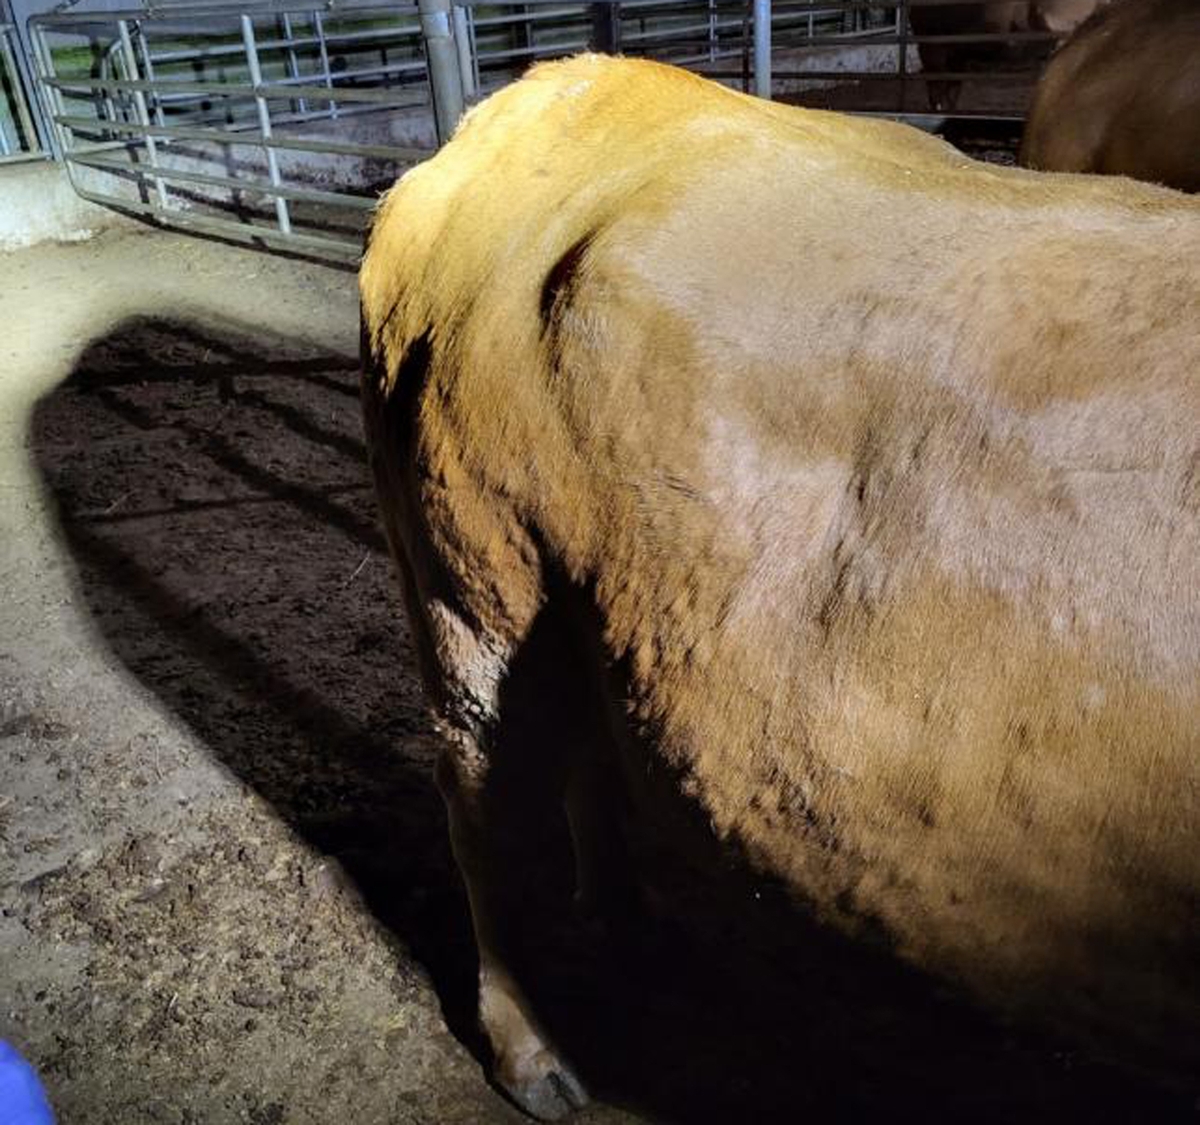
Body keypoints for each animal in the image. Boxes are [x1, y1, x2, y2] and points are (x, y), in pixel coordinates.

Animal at [360, 54, 1200, 1122]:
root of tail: (542, 94)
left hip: (565, 602)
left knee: (583, 746)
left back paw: (627, 921)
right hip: (473, 581)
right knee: (481, 807)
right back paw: (531, 1049)